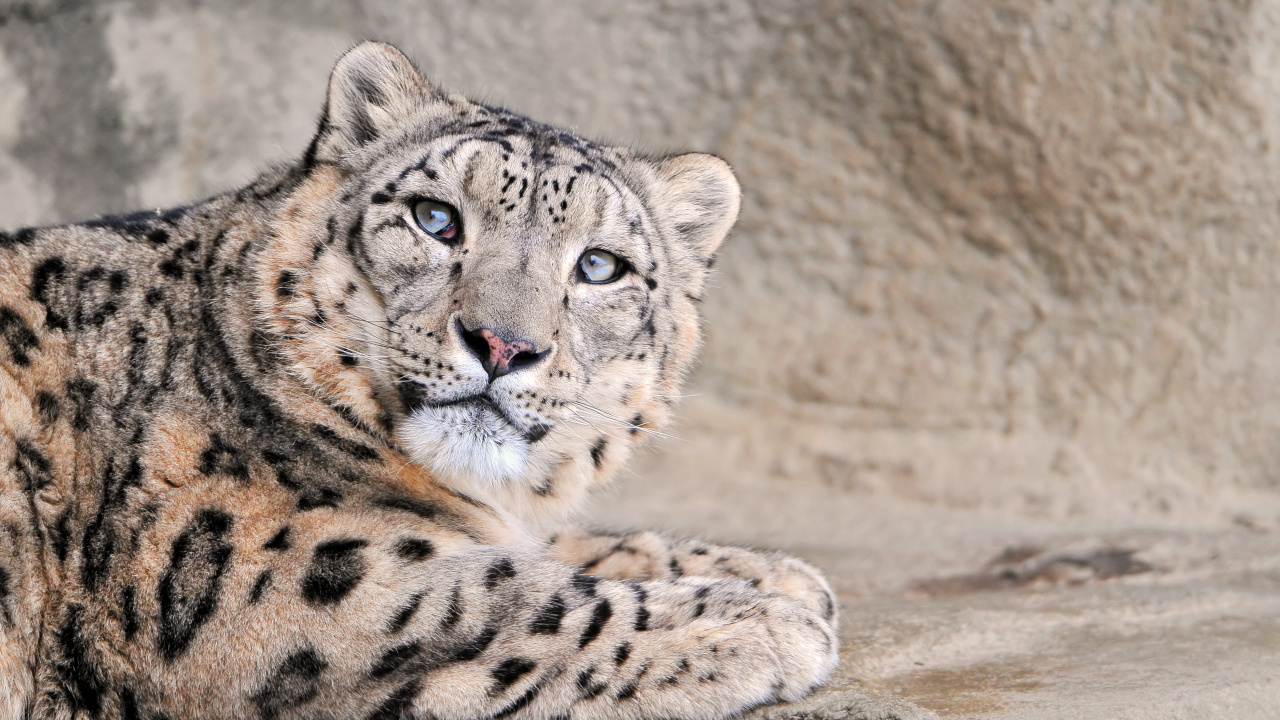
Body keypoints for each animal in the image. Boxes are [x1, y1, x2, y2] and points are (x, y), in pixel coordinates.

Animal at [0, 42, 838, 719]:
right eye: (436, 219)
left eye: (600, 266)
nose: (503, 345)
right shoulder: (267, 578)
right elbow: (508, 600)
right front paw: (764, 619)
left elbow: (558, 548)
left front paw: (776, 575)